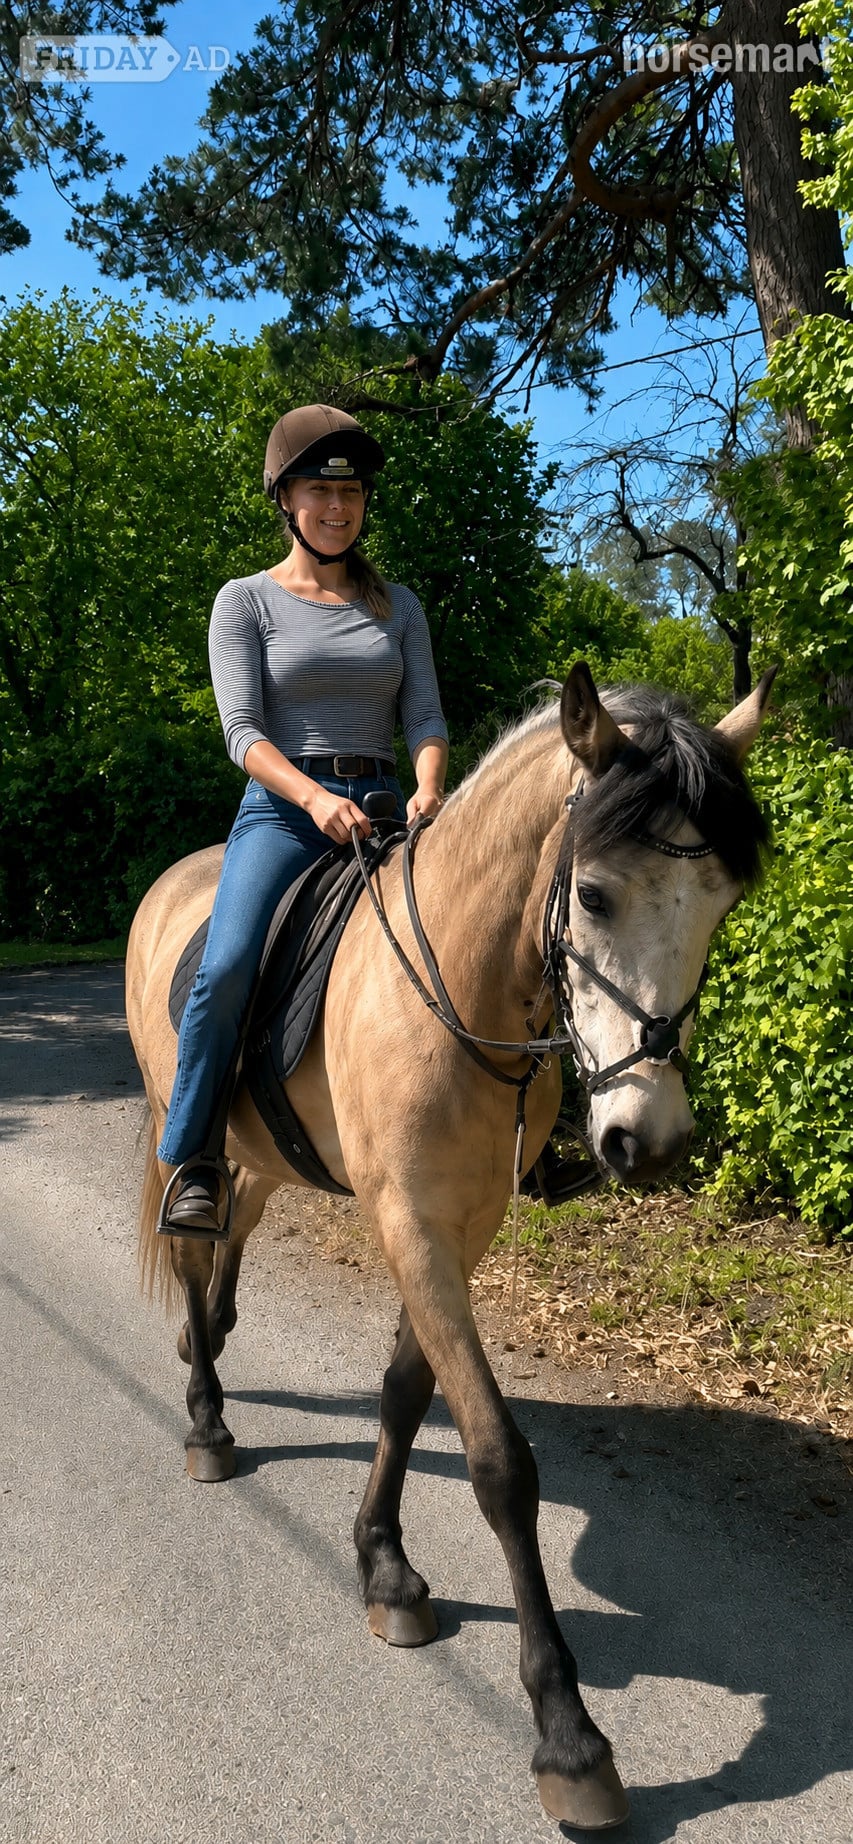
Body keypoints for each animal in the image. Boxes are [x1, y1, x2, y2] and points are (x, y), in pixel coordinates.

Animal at [126, 661, 773, 1831]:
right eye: (593, 895)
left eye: (720, 903)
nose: (647, 1141)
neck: (459, 995)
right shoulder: (409, 1224)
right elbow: (498, 1461)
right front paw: (567, 1734)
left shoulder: (457, 1230)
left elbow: (402, 1396)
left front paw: (383, 1566)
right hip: (177, 1114)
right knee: (196, 1251)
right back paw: (205, 1420)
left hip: (263, 1156)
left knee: (231, 1247)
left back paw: (214, 1372)